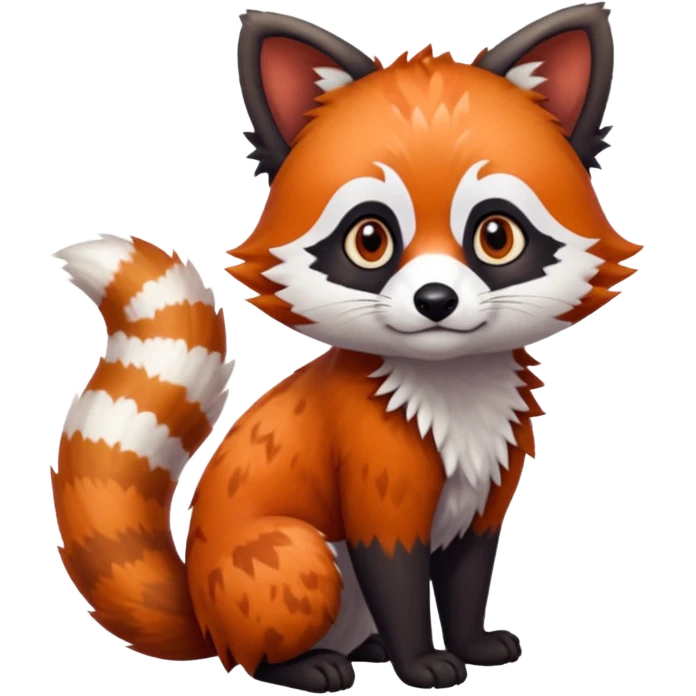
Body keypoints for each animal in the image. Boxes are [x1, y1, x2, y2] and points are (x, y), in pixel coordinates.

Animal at [50, 3, 640, 693]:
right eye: (370, 239)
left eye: (496, 236)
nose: (435, 300)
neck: (453, 393)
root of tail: (202, 612)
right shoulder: (377, 488)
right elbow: (400, 583)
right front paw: (422, 662)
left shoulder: (487, 497)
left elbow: (466, 582)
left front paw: (470, 644)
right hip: (294, 554)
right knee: (262, 646)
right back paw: (310, 665)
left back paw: (368, 648)